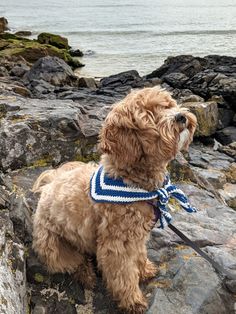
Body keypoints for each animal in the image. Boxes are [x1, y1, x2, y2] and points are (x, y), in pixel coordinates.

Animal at [31, 86, 197, 314]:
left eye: (168, 105)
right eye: (150, 116)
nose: (181, 116)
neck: (133, 182)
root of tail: (50, 183)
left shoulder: (138, 235)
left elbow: (139, 255)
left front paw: (144, 269)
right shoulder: (118, 243)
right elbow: (124, 274)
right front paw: (133, 301)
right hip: (52, 247)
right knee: (74, 261)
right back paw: (86, 274)